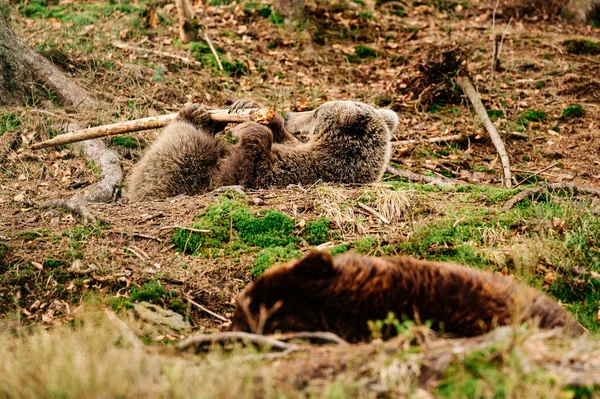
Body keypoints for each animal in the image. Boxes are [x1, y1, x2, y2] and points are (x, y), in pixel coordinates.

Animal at [125, 101, 398, 202]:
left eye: (317, 112)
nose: (289, 115)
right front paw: (253, 110)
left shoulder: (293, 169)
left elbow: (248, 166)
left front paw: (249, 128)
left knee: (180, 150)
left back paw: (192, 117)